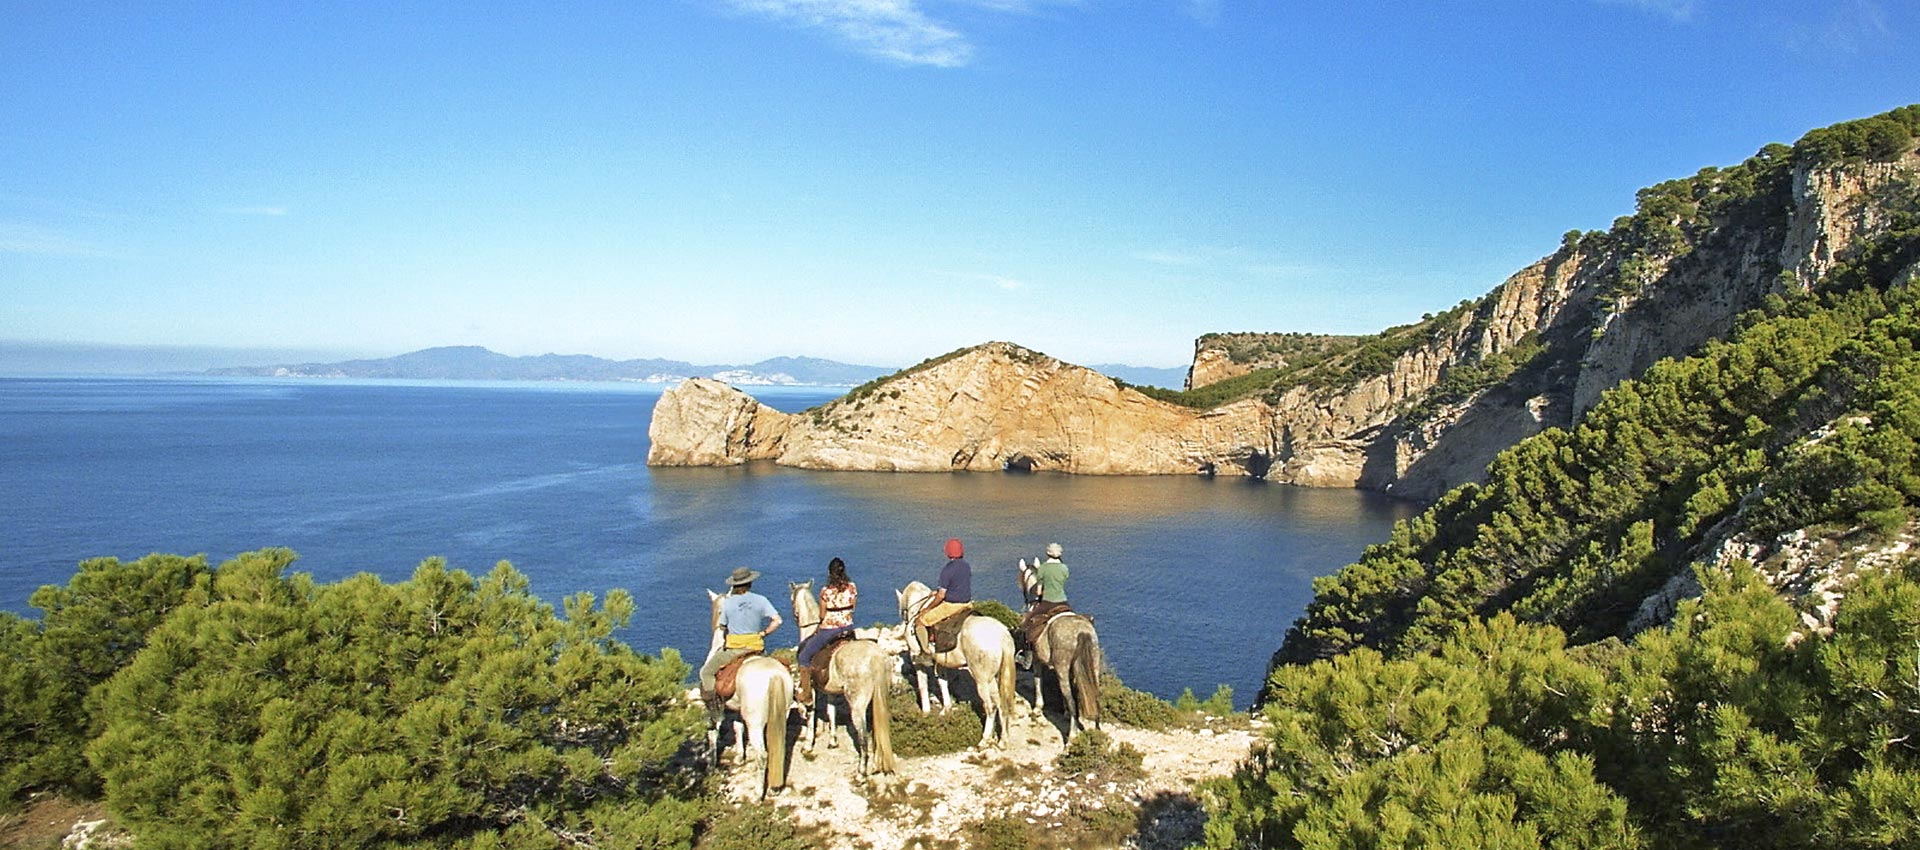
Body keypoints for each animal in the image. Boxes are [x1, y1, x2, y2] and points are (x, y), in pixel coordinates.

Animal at [702, 590, 791, 798]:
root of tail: (774, 675)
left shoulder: (717, 710)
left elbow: (714, 733)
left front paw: (711, 764)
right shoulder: (736, 710)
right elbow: (737, 728)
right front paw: (739, 757)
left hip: (756, 724)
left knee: (762, 755)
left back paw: (758, 794)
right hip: (781, 715)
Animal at [783, 583, 894, 775]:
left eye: (791, 599)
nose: (795, 616)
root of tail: (875, 657)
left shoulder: (812, 688)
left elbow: (811, 714)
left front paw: (807, 745)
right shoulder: (830, 691)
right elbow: (831, 712)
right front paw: (832, 741)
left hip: (857, 706)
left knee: (862, 736)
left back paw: (861, 771)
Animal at [894, 583, 1021, 748]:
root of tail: (1002, 636)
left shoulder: (917, 661)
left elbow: (922, 686)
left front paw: (925, 712)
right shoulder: (941, 663)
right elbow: (943, 683)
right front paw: (945, 709)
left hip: (981, 680)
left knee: (990, 707)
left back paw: (985, 739)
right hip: (991, 679)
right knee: (1000, 704)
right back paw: (1003, 740)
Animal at [1013, 560, 1105, 744]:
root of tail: (1081, 631)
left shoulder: (1037, 660)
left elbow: (1038, 681)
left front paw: (1038, 708)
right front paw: (1065, 713)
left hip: (1062, 667)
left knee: (1072, 700)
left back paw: (1071, 736)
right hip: (1093, 664)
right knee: (1094, 694)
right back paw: (1096, 731)